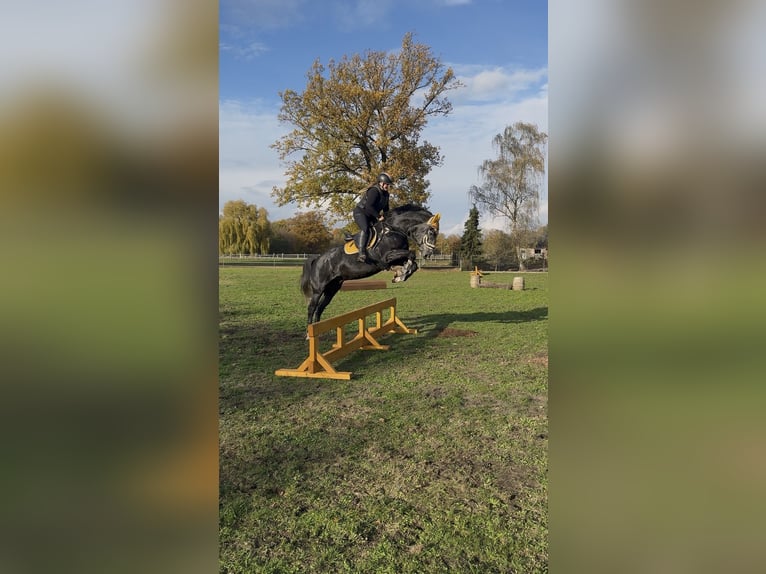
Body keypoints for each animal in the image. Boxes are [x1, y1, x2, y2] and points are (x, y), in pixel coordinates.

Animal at [300, 204, 441, 325]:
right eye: (431, 232)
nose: (428, 254)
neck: (395, 230)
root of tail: (318, 258)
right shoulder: (386, 257)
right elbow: (411, 254)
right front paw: (402, 273)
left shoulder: (395, 258)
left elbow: (413, 262)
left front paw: (400, 274)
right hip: (319, 289)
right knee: (312, 307)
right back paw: (309, 332)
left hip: (332, 288)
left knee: (320, 308)